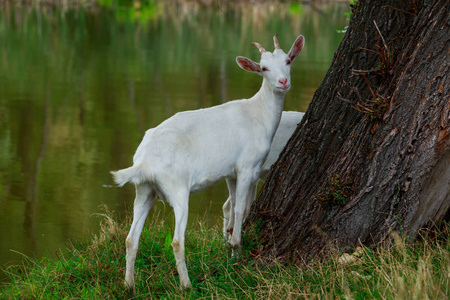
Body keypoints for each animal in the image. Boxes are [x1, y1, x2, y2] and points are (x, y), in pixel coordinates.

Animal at [110, 34, 304, 290]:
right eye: (263, 68)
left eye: (288, 61)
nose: (283, 82)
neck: (258, 115)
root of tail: (144, 162)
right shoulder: (247, 166)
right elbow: (241, 209)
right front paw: (236, 251)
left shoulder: (231, 172)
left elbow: (233, 207)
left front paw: (230, 250)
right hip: (177, 188)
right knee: (177, 241)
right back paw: (186, 285)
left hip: (143, 189)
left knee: (131, 239)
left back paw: (129, 284)